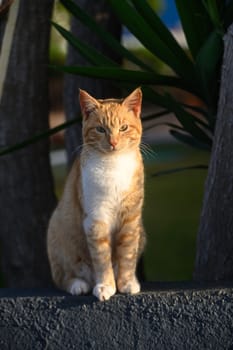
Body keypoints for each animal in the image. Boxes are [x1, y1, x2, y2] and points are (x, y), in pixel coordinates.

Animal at [46, 87, 146, 300]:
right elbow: (101, 258)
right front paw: (105, 286)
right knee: (62, 277)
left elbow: (127, 253)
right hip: (57, 230)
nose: (113, 142)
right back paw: (78, 284)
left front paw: (126, 282)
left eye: (124, 128)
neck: (113, 165)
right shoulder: (96, 219)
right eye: (101, 129)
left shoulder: (131, 218)